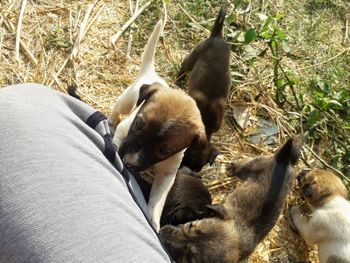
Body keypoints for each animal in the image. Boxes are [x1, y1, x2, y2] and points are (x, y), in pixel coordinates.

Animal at [115, 82, 208, 231]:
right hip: (125, 101)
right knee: (117, 110)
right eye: (137, 124)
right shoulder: (123, 130)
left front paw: (153, 220)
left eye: (164, 151)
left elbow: (157, 200)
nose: (128, 162)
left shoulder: (167, 174)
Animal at [160, 137, 300, 262]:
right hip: (248, 168)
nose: (160, 234)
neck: (239, 235)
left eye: (189, 258)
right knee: (240, 164)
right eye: (190, 225)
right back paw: (230, 168)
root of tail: (284, 161)